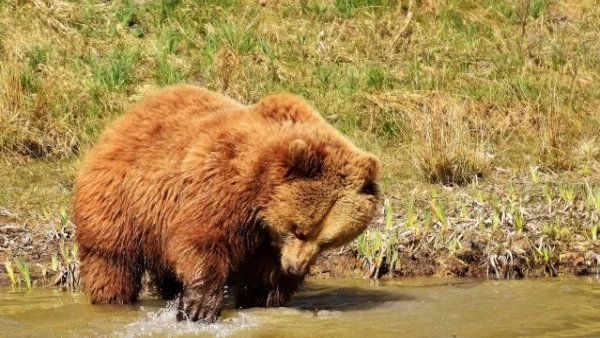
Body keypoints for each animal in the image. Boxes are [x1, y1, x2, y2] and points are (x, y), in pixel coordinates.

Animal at [74, 84, 380, 322]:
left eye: (327, 241)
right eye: (299, 229)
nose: (295, 268)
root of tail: (124, 119)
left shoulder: (268, 239)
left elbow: (264, 276)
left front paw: (263, 300)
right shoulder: (224, 183)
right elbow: (200, 237)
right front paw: (199, 307)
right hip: (120, 200)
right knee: (112, 260)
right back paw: (113, 300)